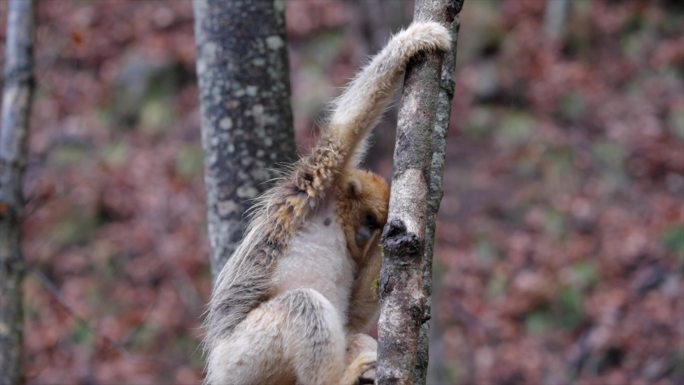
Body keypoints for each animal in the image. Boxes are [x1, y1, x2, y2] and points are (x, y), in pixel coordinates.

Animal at [202, 21, 448, 384]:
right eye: (369, 219)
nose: (366, 235)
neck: (333, 215)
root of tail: (216, 371)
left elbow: (354, 315)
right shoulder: (318, 177)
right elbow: (343, 129)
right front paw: (410, 42)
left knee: (352, 335)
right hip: (239, 360)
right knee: (305, 305)